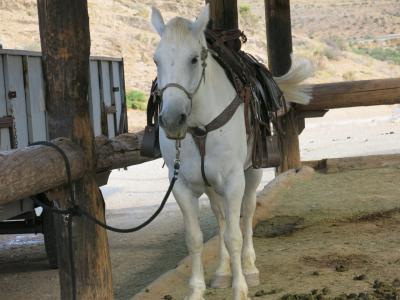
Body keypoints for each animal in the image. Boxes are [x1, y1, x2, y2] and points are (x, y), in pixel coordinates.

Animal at [152, 4, 310, 300]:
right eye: (157, 60)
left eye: (193, 59)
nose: (172, 120)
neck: (200, 128)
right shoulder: (181, 186)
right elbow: (195, 238)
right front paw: (197, 289)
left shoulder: (234, 181)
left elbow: (235, 234)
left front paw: (240, 288)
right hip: (212, 186)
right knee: (222, 217)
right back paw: (222, 271)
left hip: (251, 173)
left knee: (246, 214)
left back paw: (248, 267)